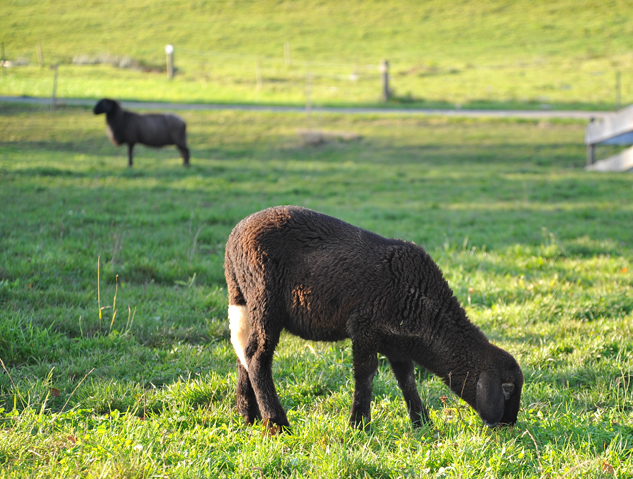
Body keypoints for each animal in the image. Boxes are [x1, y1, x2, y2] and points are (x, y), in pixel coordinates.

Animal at [223, 207, 524, 436]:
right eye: (507, 388)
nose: (509, 425)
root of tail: (232, 242)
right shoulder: (364, 328)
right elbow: (365, 375)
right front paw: (359, 425)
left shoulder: (397, 342)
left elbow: (407, 380)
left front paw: (422, 423)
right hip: (265, 298)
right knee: (258, 356)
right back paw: (277, 424)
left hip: (245, 303)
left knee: (243, 352)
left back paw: (248, 416)